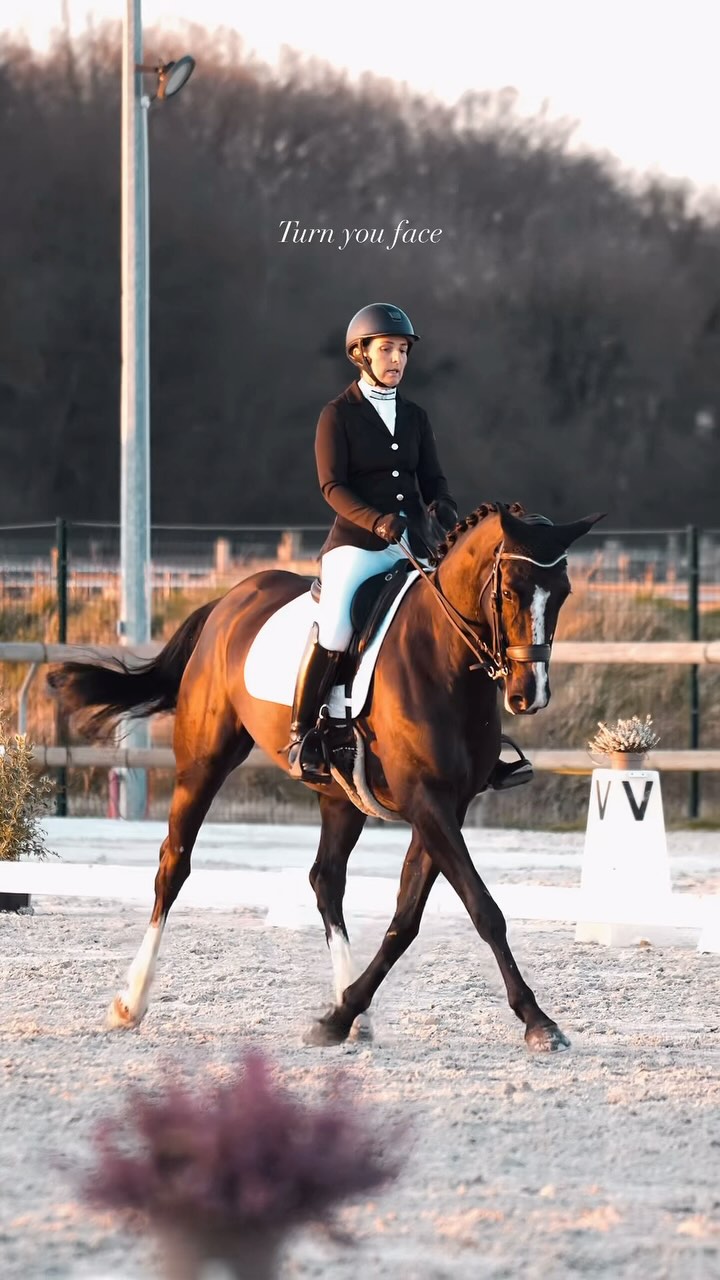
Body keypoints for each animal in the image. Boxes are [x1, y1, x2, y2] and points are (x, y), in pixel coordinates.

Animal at [48, 501, 603, 1052]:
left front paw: (341, 1013)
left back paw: (349, 1008)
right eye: (508, 591)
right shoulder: (426, 801)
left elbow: (406, 917)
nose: (529, 695)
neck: (442, 656)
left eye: (562, 594)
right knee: (173, 866)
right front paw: (538, 1020)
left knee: (325, 880)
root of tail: (228, 601)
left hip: (340, 794)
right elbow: (484, 909)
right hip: (203, 763)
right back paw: (131, 1001)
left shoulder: (449, 805)